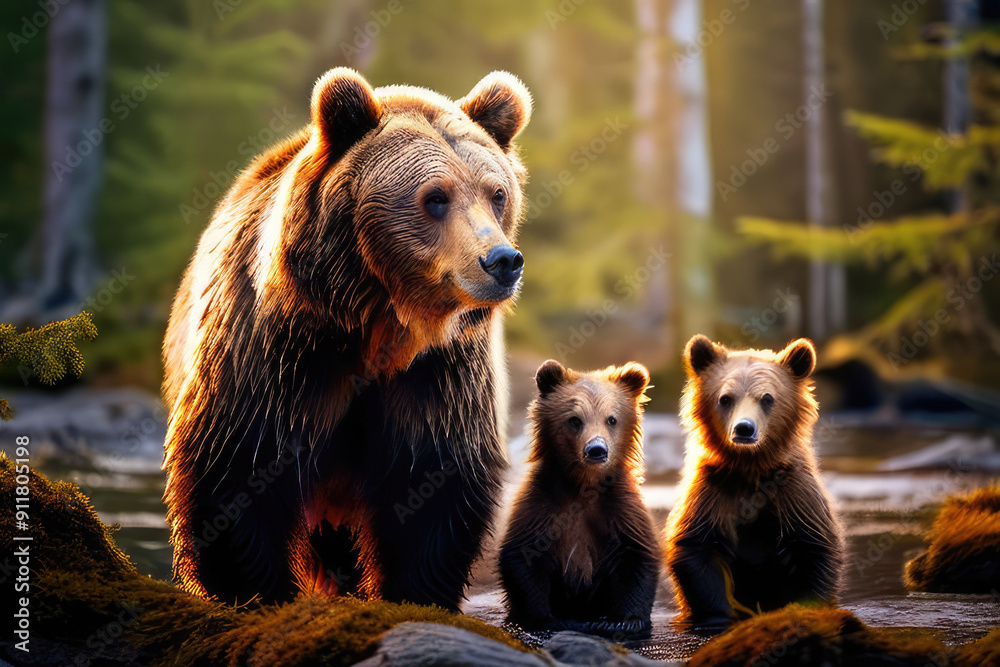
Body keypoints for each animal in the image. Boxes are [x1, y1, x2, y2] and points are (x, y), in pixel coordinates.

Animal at [161, 68, 532, 609]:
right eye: (435, 197)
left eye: (497, 193)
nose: (501, 261)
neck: (378, 328)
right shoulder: (275, 353)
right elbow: (237, 465)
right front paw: (256, 592)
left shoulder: (440, 372)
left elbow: (433, 478)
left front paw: (413, 592)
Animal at [498, 360, 660, 639]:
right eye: (575, 420)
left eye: (612, 419)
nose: (596, 450)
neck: (584, 486)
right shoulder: (541, 508)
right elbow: (522, 559)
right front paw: (546, 619)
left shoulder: (621, 511)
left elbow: (637, 557)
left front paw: (620, 622)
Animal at [664, 335, 845, 633]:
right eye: (725, 398)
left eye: (767, 398)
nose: (744, 429)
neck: (750, 468)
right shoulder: (712, 494)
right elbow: (696, 551)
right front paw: (718, 616)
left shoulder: (794, 494)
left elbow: (814, 550)